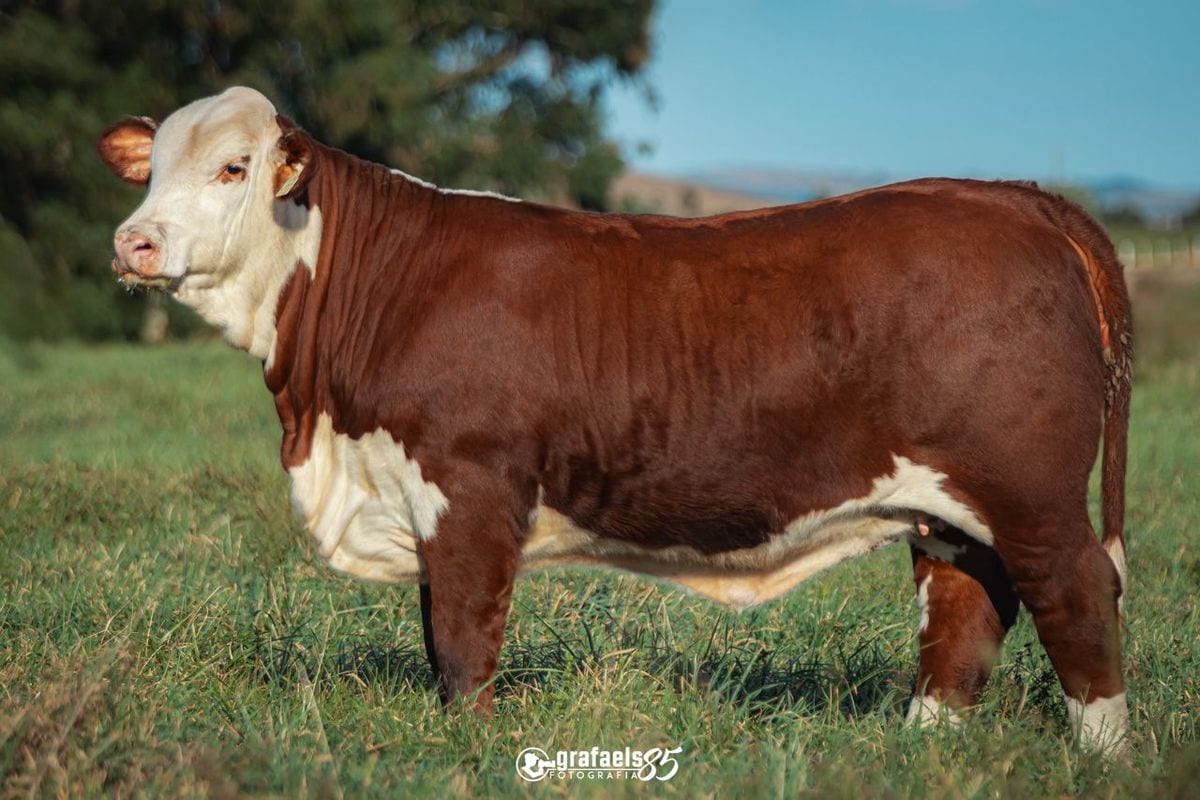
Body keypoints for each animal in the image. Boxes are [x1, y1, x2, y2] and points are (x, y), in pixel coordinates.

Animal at [98, 87, 1133, 753]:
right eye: (150, 175)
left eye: (234, 168)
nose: (134, 242)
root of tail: (1013, 197)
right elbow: (438, 628)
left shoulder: (472, 487)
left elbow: (462, 637)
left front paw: (470, 750)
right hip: (949, 507)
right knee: (964, 609)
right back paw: (920, 749)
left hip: (1031, 491)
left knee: (1077, 595)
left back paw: (1105, 755)